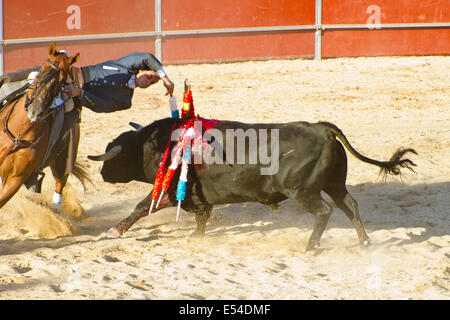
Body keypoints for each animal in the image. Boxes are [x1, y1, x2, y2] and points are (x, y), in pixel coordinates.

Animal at [0, 43, 89, 212]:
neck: (19, 134)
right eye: (42, 70)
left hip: (62, 163)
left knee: (59, 187)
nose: (36, 111)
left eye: (61, 81)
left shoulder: (15, 180)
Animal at [88, 118, 414, 252]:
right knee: (350, 206)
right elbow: (203, 216)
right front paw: (197, 235)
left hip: (302, 190)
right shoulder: (199, 197)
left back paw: (310, 246)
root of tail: (322, 129)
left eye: (114, 157)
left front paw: (115, 229)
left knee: (324, 212)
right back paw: (365, 243)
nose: (102, 173)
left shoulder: (169, 192)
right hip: (334, 184)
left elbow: (143, 206)